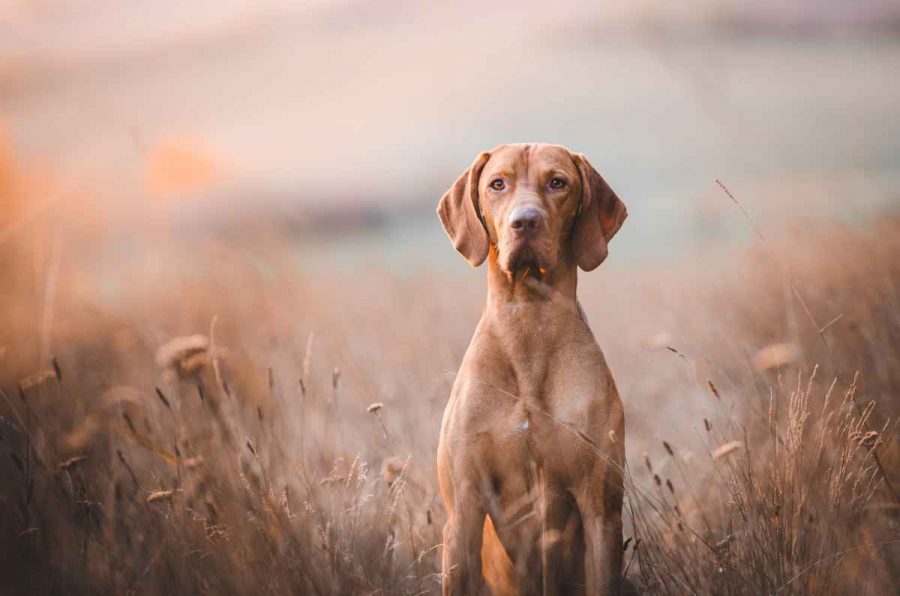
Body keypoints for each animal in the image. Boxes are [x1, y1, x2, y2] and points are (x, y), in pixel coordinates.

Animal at [436, 144, 624, 596]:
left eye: (557, 182)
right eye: (497, 184)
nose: (525, 222)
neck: (528, 321)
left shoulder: (601, 511)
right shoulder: (463, 511)